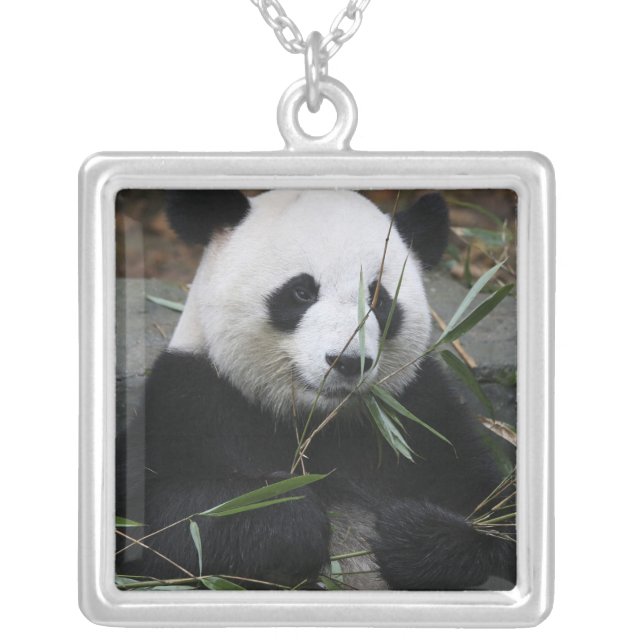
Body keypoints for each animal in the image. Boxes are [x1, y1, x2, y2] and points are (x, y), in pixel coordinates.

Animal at [116, 189, 515, 591]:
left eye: (378, 299)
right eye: (301, 292)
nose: (348, 361)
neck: (317, 422)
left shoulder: (419, 411)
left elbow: (496, 511)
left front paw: (409, 535)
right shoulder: (191, 399)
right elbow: (157, 521)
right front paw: (290, 518)